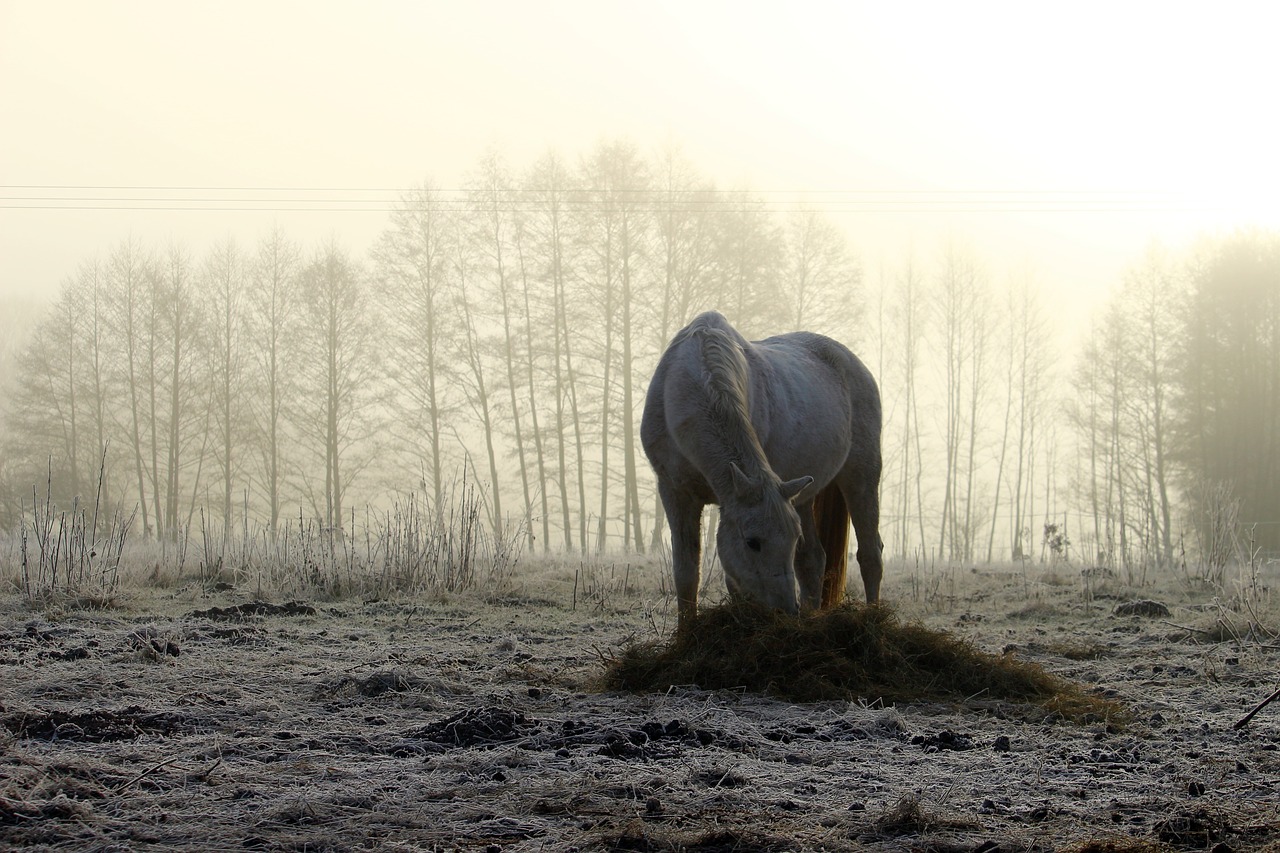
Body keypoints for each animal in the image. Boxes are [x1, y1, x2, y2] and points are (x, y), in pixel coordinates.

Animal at [637, 308, 880, 627]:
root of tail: (853, 362)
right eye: (753, 542)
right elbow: (687, 573)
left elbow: (732, 582)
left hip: (862, 477)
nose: (786, 610)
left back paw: (876, 615)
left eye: (791, 539)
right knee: (813, 560)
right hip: (802, 495)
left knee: (870, 553)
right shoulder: (675, 492)